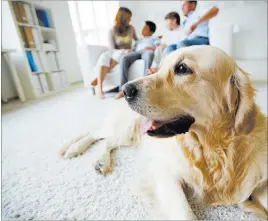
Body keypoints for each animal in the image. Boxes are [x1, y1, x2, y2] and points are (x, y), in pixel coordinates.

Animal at [59, 45, 266, 220]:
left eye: (182, 68)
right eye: (160, 68)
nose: (125, 90)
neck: (211, 149)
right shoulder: (166, 173)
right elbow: (185, 213)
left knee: (107, 140)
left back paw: (99, 161)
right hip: (127, 128)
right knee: (98, 135)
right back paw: (77, 150)